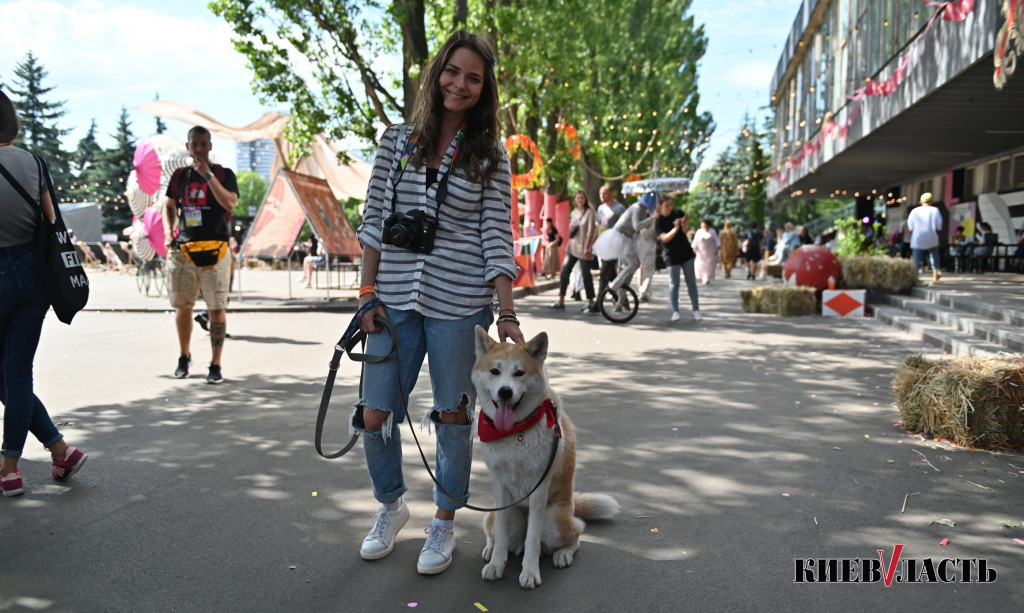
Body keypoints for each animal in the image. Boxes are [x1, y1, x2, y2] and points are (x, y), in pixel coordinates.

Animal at [473, 325, 622, 589]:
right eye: (495, 371)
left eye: (519, 373)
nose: (504, 392)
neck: (515, 431)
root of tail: (571, 504)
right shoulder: (499, 484)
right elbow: (500, 534)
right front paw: (496, 565)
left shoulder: (538, 489)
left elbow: (533, 539)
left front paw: (530, 572)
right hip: (506, 514)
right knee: (497, 533)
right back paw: (490, 550)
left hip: (554, 519)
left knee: (576, 535)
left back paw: (563, 554)